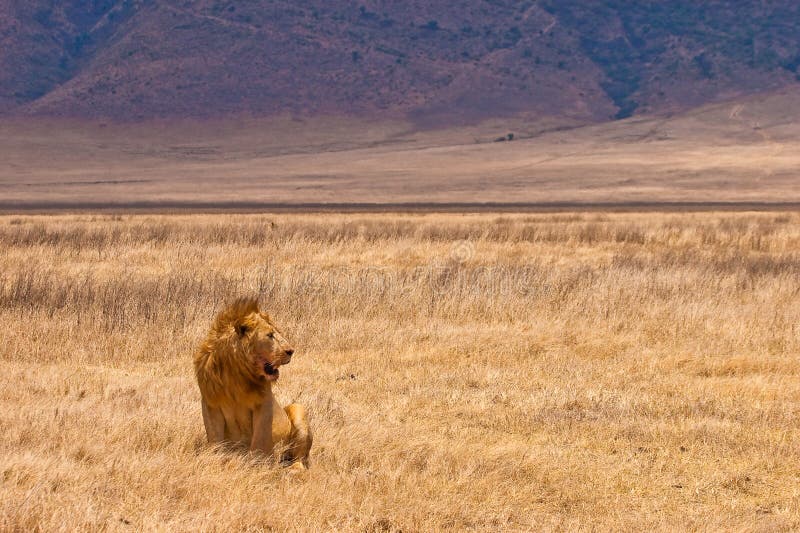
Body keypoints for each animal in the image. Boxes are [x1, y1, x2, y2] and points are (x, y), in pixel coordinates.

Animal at [194, 298, 312, 468]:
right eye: (270, 335)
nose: (291, 351)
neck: (236, 374)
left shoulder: (264, 402)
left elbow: (260, 439)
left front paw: (258, 465)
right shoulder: (210, 403)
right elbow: (214, 436)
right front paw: (214, 459)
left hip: (298, 409)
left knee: (299, 459)